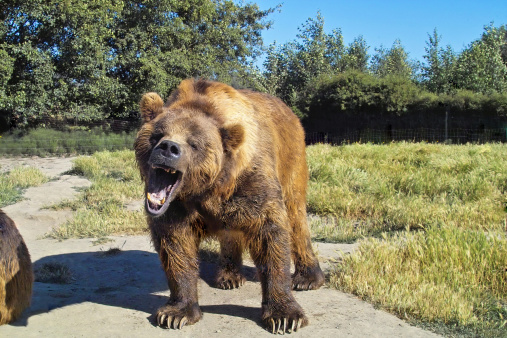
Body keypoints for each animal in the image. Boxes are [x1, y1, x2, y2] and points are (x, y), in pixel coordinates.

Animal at [136, 78, 326, 332]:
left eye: (194, 144)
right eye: (157, 134)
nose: (168, 148)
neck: (210, 187)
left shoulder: (253, 181)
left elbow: (270, 234)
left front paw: (285, 315)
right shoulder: (177, 207)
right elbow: (176, 246)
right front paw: (176, 313)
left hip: (291, 159)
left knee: (296, 216)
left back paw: (308, 278)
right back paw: (228, 276)